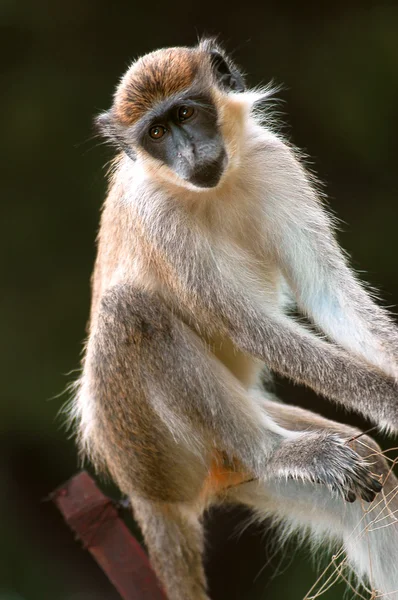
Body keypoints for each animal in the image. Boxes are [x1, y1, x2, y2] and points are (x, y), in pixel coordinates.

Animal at [70, 39, 398, 596]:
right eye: (156, 134)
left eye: (185, 114)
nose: (188, 153)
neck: (211, 190)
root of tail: (143, 492)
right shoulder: (157, 214)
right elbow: (248, 326)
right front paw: (392, 402)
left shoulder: (275, 159)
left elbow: (327, 293)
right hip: (153, 453)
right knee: (130, 309)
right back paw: (279, 454)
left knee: (374, 474)